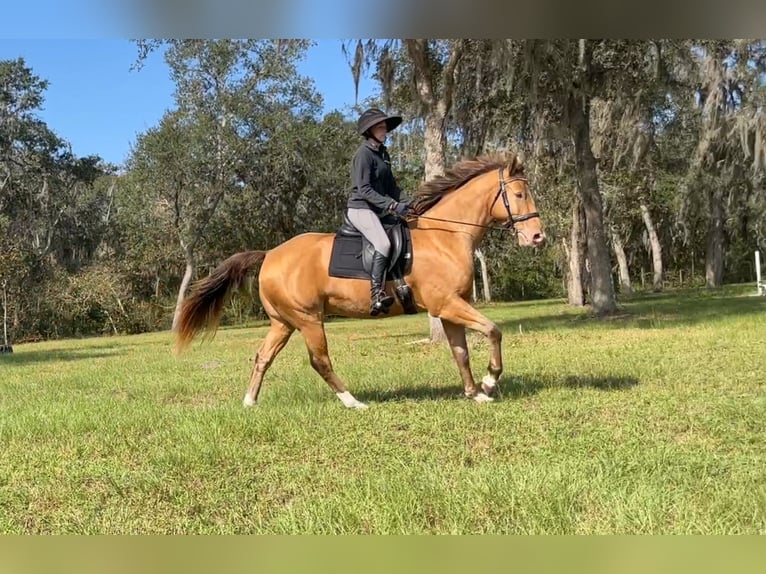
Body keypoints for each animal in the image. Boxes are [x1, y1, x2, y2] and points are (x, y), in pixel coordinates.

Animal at [174, 155, 544, 412]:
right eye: (519, 193)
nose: (537, 238)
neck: (447, 235)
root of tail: (269, 255)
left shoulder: (451, 307)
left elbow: (461, 352)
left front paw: (474, 393)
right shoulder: (447, 304)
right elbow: (493, 330)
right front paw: (490, 381)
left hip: (283, 322)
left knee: (263, 356)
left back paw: (250, 402)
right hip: (308, 319)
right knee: (320, 360)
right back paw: (353, 402)